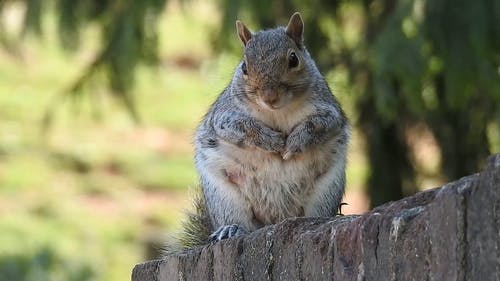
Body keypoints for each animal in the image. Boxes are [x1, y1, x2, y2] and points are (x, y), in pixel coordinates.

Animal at [170, 12, 350, 249]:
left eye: (294, 59)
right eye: (244, 67)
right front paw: (273, 142)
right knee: (236, 219)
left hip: (328, 189)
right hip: (223, 197)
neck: (277, 112)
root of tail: (274, 220)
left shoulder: (330, 112)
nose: (269, 96)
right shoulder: (224, 116)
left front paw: (294, 143)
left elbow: (318, 126)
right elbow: (242, 128)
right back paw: (230, 229)